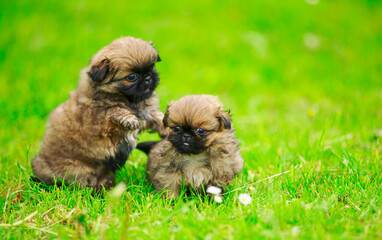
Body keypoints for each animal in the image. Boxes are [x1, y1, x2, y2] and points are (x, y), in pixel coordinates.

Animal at [31, 36, 166, 192]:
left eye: (152, 67)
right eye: (132, 77)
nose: (149, 78)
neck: (129, 99)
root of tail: (40, 173)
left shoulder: (147, 114)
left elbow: (157, 117)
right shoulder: (102, 118)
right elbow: (115, 110)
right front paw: (130, 119)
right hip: (78, 171)